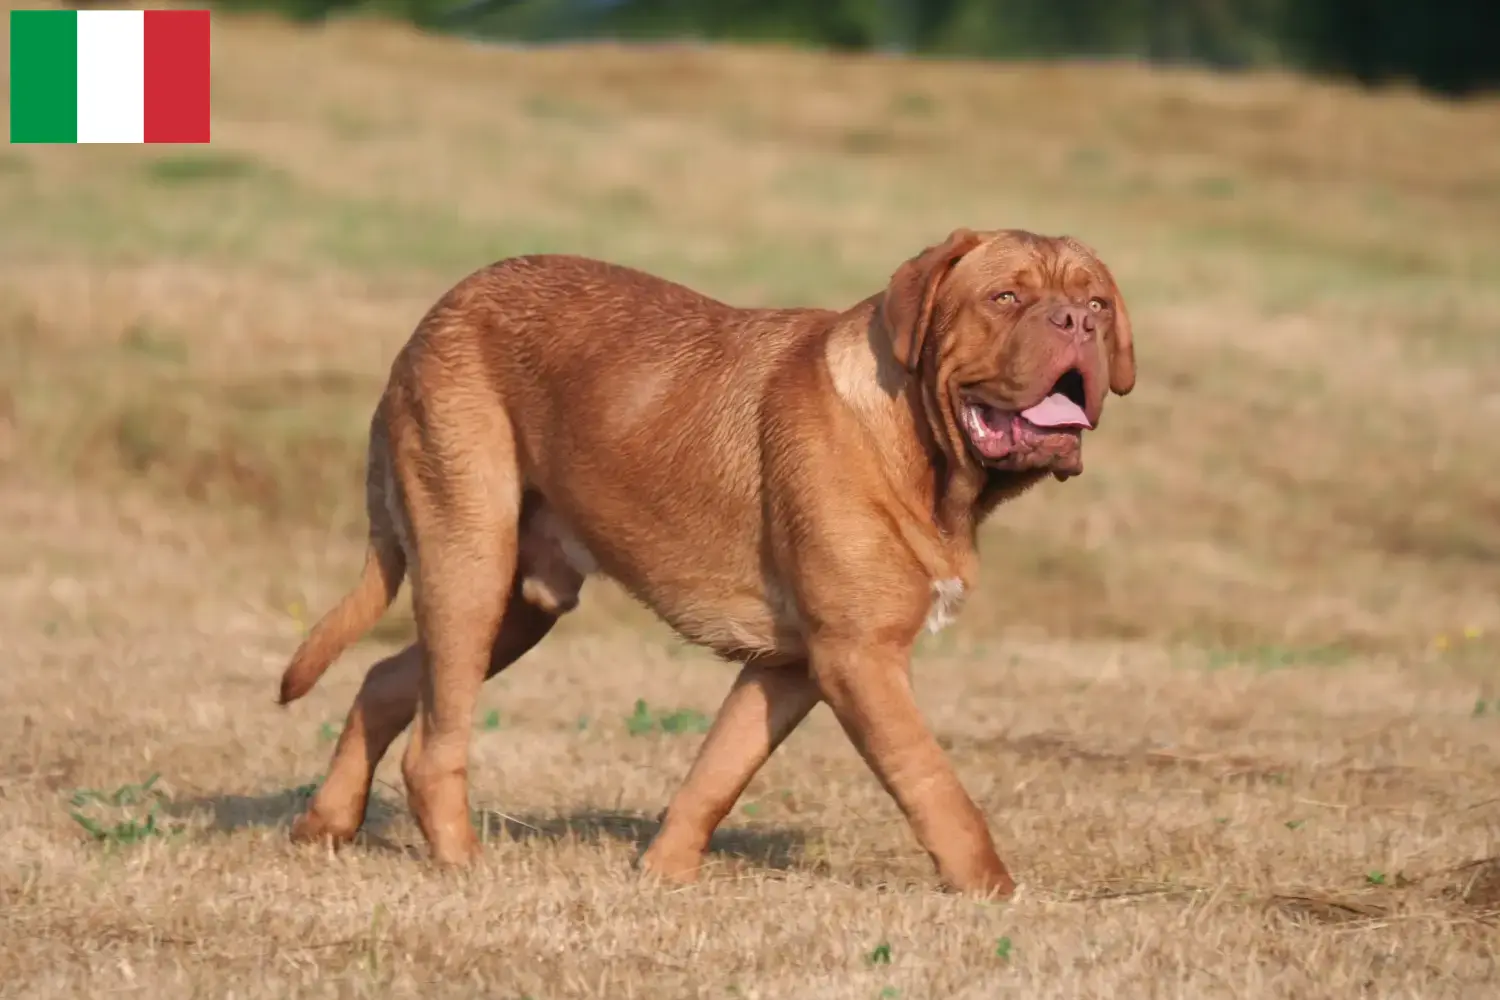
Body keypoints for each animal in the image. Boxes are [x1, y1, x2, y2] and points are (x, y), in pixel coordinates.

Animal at [276, 229, 1128, 899]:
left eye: (1098, 304)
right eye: (1006, 297)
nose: (1074, 321)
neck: (922, 449)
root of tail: (434, 316)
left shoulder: (790, 666)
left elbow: (719, 770)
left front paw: (663, 874)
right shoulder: (860, 657)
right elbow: (935, 786)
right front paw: (996, 893)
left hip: (517, 605)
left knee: (387, 678)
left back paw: (324, 826)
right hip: (471, 562)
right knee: (434, 742)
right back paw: (462, 864)